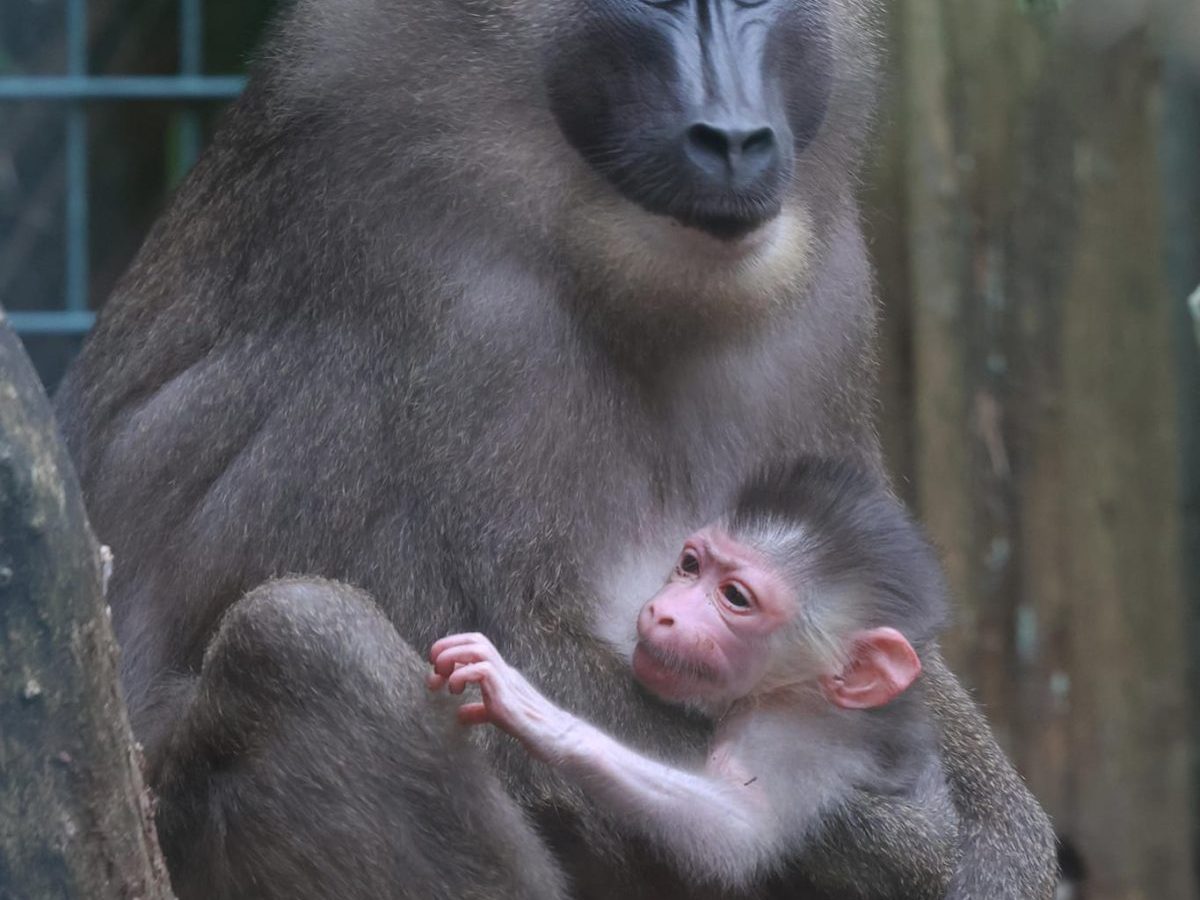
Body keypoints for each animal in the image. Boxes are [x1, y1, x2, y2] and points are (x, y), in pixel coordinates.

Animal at [432, 460, 955, 897]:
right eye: (690, 565)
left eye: (736, 597)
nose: (663, 612)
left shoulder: (793, 731)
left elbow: (737, 831)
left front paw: (539, 716)